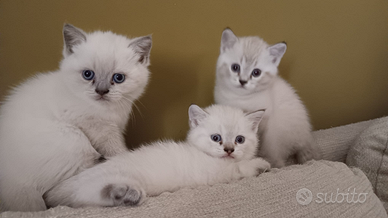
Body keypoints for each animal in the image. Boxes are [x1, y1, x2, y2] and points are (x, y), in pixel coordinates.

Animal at [0, 23, 152, 211]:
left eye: (118, 78)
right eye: (88, 74)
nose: (101, 91)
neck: (108, 111)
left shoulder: (115, 125)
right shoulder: (96, 127)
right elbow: (116, 151)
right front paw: (126, 157)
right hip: (75, 141)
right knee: (53, 195)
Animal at [44, 104, 268, 209]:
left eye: (239, 139)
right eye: (216, 138)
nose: (229, 149)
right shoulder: (215, 173)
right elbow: (238, 168)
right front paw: (261, 164)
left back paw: (124, 194)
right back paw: (124, 193)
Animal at [214, 28, 320, 169]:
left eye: (256, 73)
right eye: (235, 67)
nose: (243, 81)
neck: (239, 97)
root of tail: (306, 139)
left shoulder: (262, 123)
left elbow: (256, 143)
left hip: (275, 135)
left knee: (279, 161)